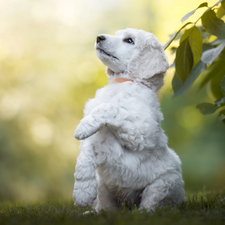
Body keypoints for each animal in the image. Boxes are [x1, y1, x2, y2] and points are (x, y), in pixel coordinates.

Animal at [73, 27, 185, 211]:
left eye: (129, 40)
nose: (99, 37)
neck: (123, 83)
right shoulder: (93, 142)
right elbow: (83, 160)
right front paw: (82, 193)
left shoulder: (141, 132)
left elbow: (111, 108)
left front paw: (82, 127)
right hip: (104, 188)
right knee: (106, 207)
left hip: (165, 183)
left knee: (151, 204)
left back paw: (142, 213)